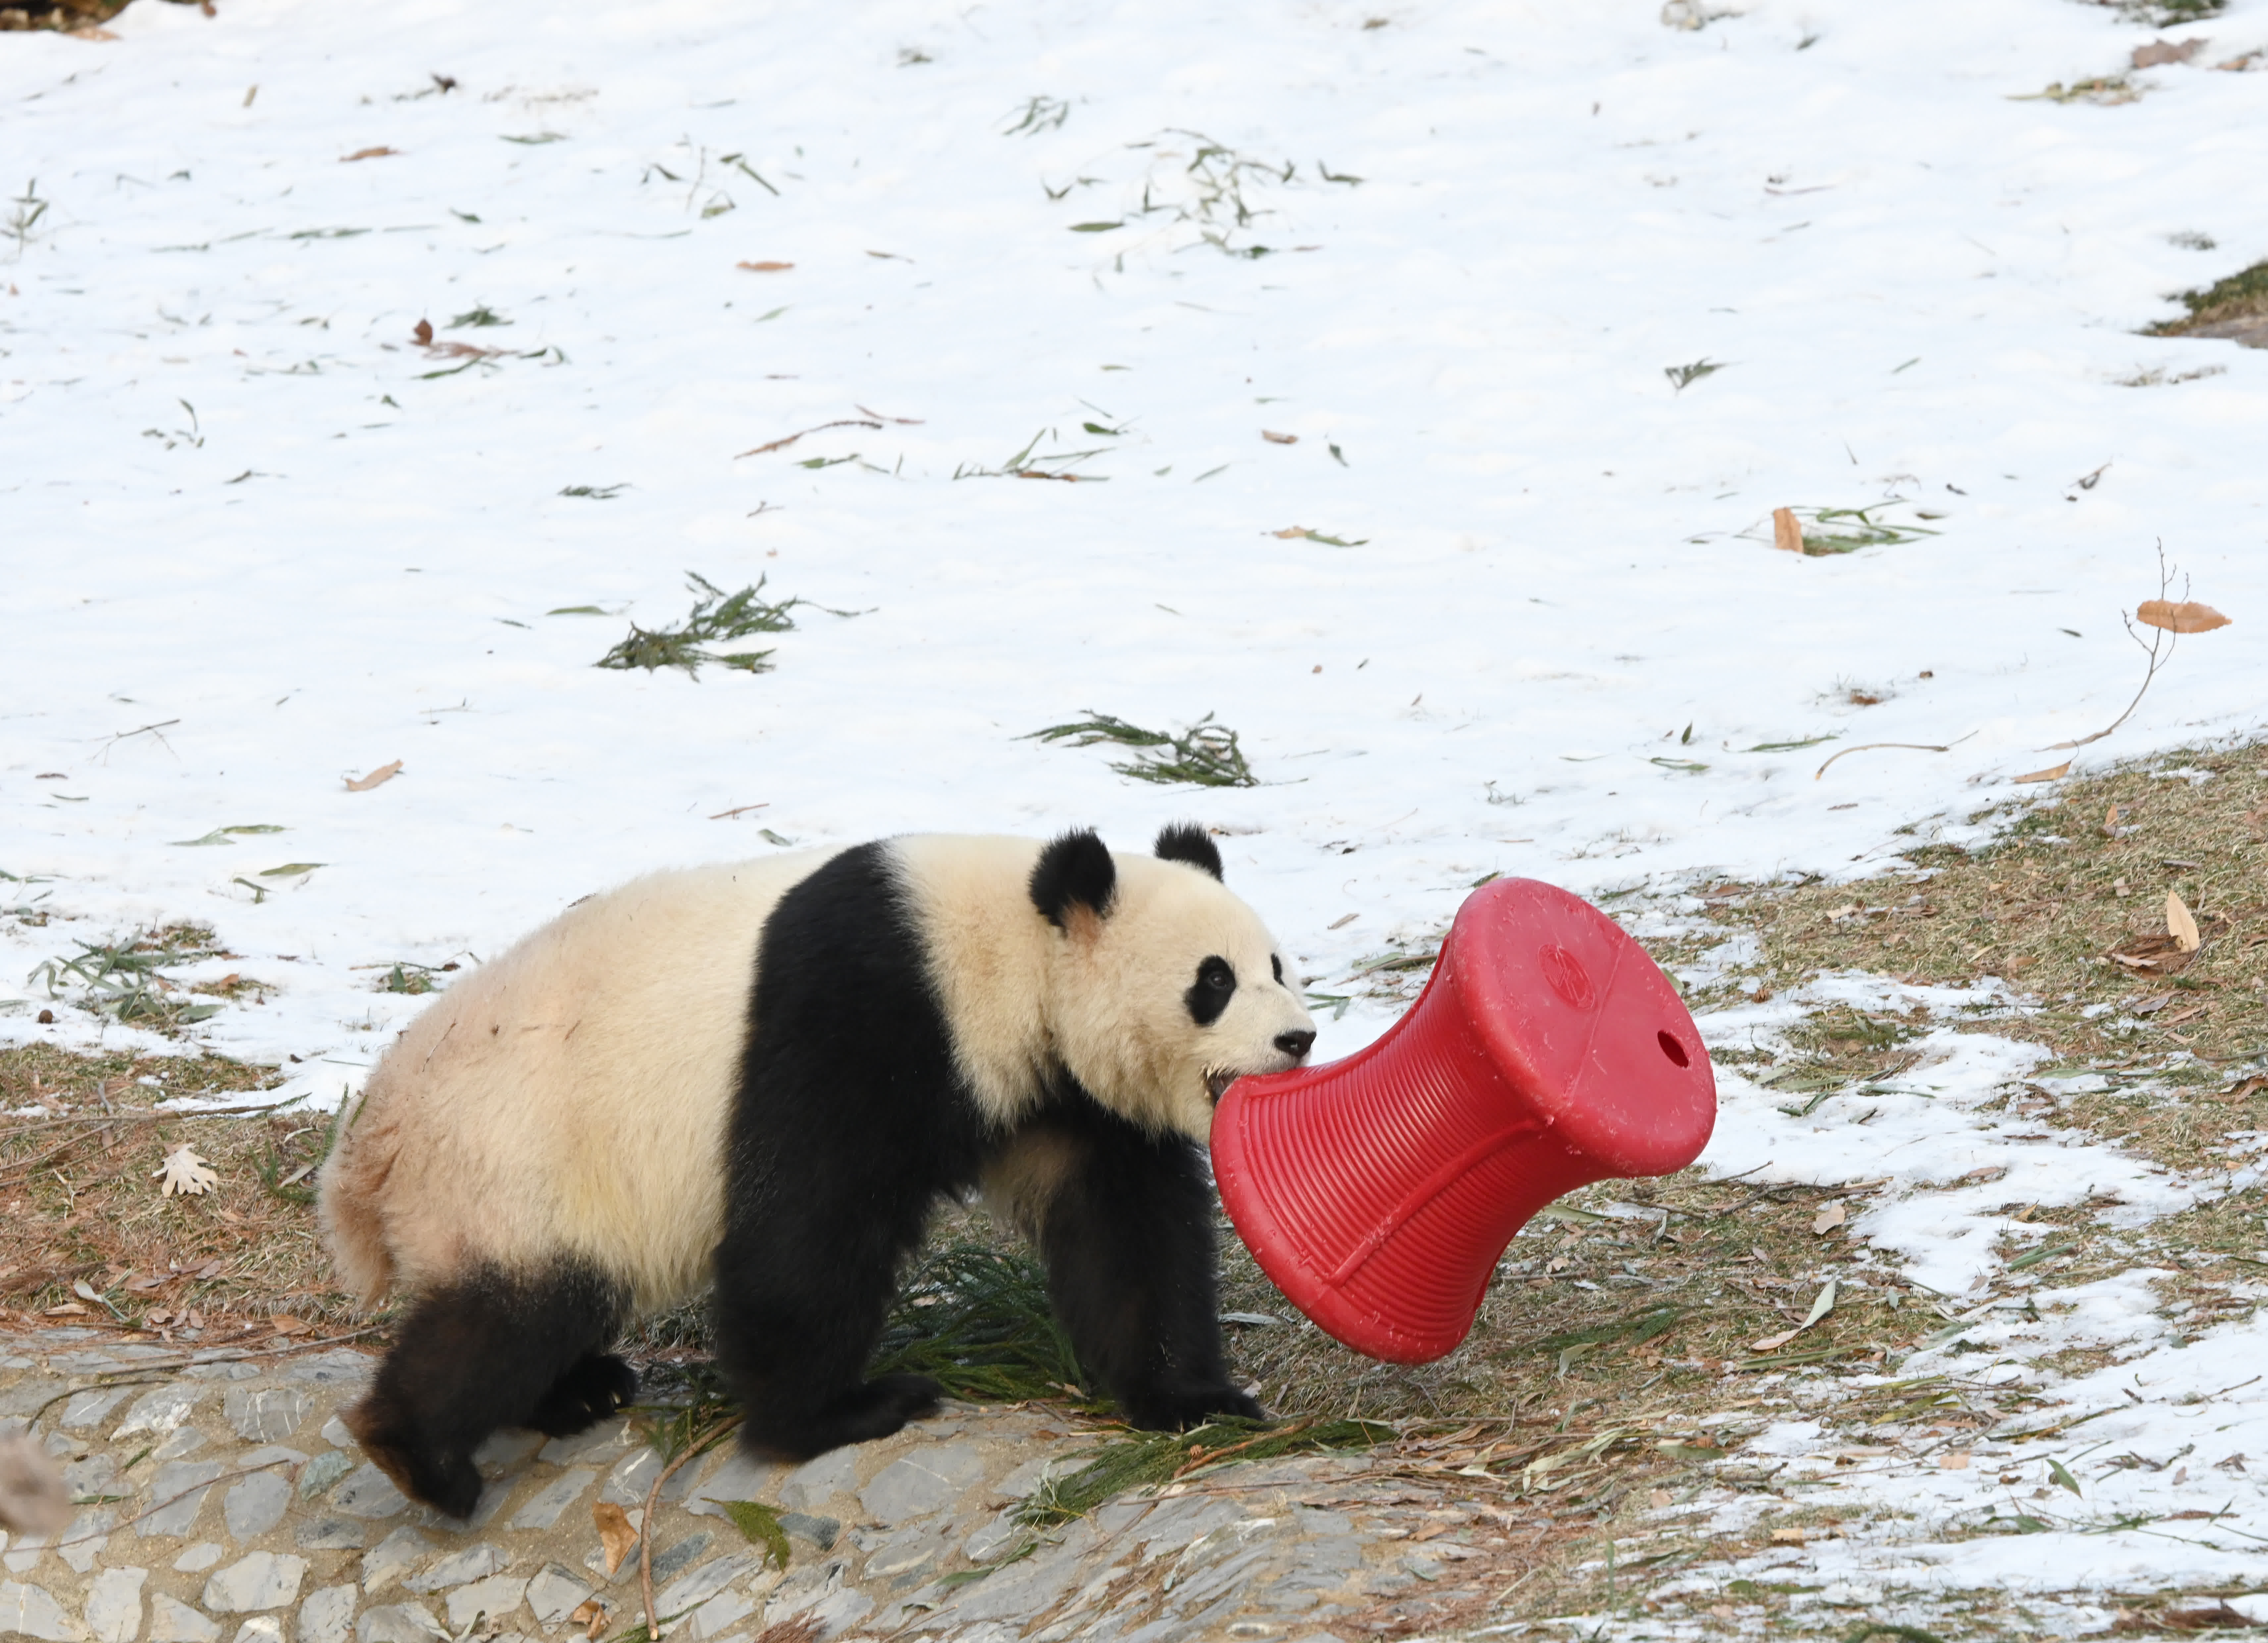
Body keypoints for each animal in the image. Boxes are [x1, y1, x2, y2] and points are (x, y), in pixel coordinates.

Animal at [317, 826, 1315, 1525]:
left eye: (1277, 965)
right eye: (1214, 981)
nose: (1298, 1038)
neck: (998, 946)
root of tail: (368, 1153)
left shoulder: (1059, 1092)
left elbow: (1127, 1230)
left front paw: (1192, 1400)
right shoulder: (860, 1008)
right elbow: (809, 1226)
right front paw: (839, 1413)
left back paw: (578, 1391)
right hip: (510, 1164)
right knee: (517, 1311)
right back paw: (424, 1456)